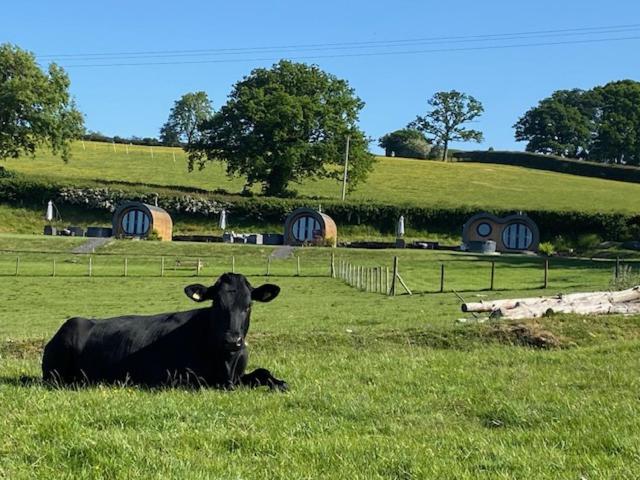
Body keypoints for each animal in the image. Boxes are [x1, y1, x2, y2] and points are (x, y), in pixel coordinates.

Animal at [42, 274, 288, 390]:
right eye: (217, 303)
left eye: (248, 305)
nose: (232, 340)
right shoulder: (182, 377)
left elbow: (263, 372)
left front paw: (279, 383)